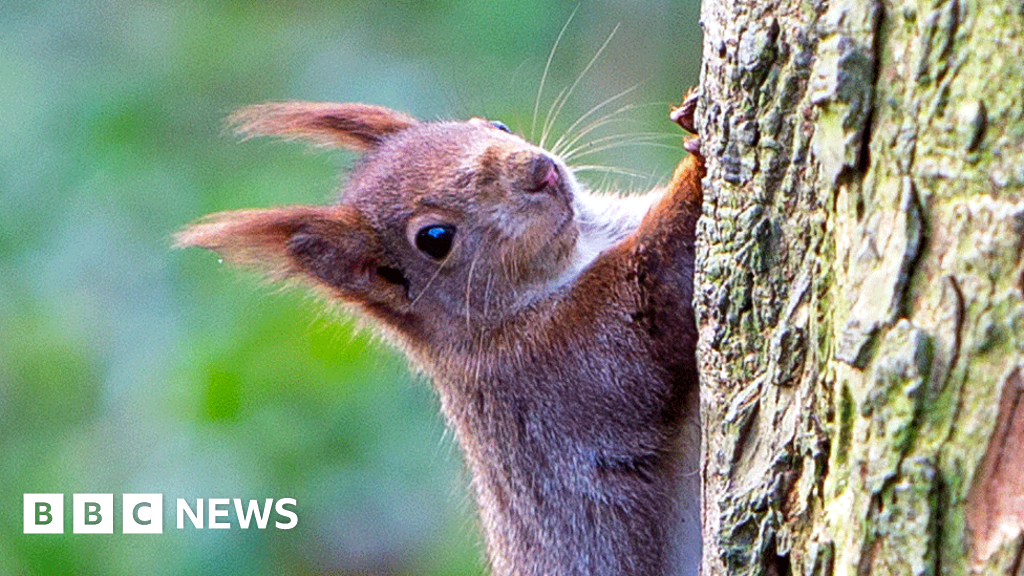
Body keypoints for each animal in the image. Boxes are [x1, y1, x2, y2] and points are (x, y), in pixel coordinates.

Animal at [176, 89, 705, 576]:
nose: (541, 170)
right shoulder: (572, 364)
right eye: (434, 238)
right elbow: (654, 285)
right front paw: (694, 175)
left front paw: (690, 117)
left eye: (497, 125)